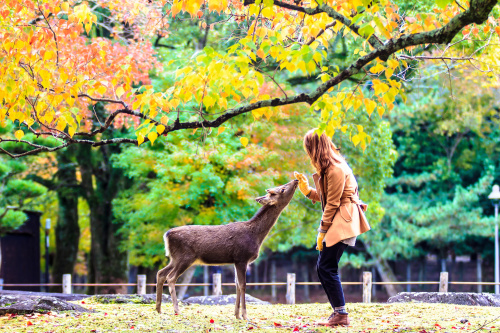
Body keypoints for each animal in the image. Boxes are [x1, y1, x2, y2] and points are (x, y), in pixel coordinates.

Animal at [155, 179, 296, 320]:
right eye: (282, 189)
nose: (295, 180)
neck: (256, 236)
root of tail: (167, 234)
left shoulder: (236, 260)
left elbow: (237, 285)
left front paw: (237, 315)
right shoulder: (242, 257)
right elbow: (243, 285)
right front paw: (245, 316)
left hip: (174, 258)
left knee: (161, 273)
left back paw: (158, 309)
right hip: (185, 257)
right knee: (171, 277)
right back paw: (176, 309)